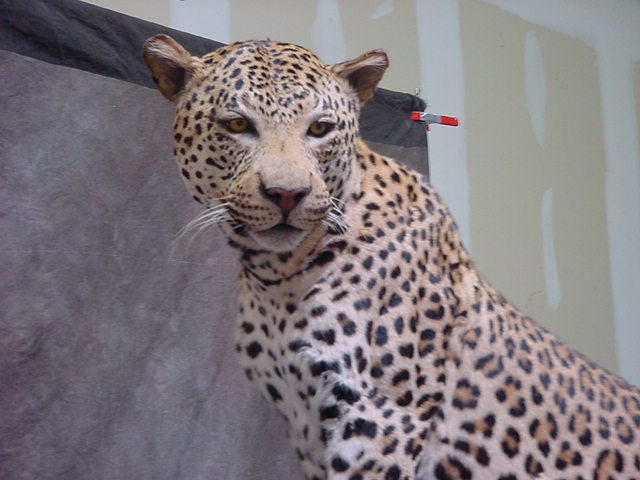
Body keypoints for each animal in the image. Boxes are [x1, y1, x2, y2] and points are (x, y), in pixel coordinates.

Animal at [143, 34, 640, 479]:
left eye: (319, 129)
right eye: (236, 126)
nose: (288, 194)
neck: (278, 278)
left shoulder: (380, 418)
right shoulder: (303, 424)